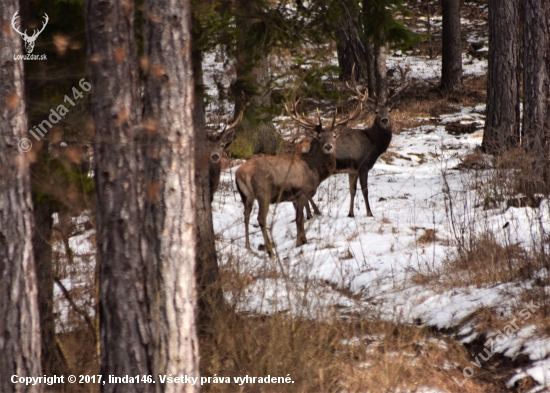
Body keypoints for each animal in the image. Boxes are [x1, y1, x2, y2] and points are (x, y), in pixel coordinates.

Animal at [236, 92, 368, 256]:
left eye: (334, 135)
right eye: (319, 137)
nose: (328, 146)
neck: (315, 170)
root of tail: (240, 174)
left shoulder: (295, 197)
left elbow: (300, 217)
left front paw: (302, 239)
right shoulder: (303, 192)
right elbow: (299, 219)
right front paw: (302, 242)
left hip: (246, 196)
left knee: (246, 215)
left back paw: (248, 246)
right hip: (263, 193)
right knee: (260, 218)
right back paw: (269, 249)